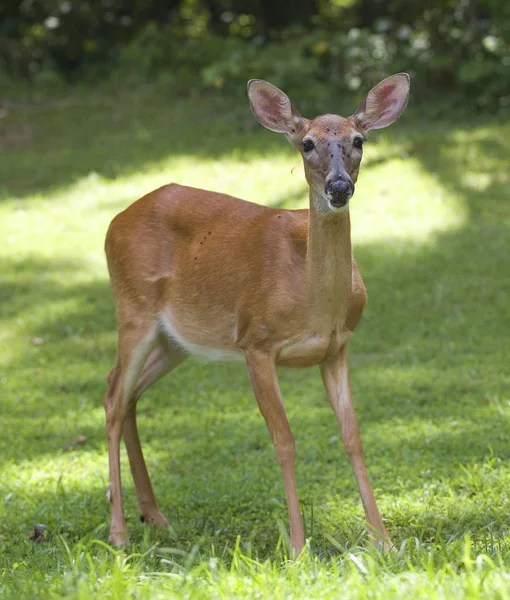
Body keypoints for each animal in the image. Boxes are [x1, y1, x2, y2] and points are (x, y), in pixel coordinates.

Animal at [103, 72, 410, 556]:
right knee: (115, 398)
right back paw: (119, 531)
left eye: (359, 140)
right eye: (306, 143)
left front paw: (384, 542)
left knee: (125, 391)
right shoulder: (256, 342)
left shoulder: (337, 347)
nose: (339, 187)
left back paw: (154, 516)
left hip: (177, 340)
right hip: (132, 310)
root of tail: (115, 221)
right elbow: (284, 442)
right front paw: (298, 547)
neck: (313, 302)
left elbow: (354, 438)